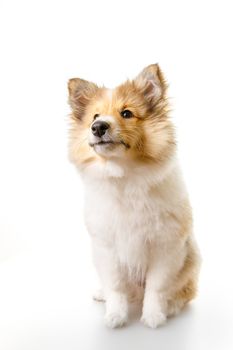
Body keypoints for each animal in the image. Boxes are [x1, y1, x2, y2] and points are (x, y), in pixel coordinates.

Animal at [67, 63, 200, 328]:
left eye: (127, 113)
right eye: (94, 117)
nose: (98, 127)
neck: (124, 176)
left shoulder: (165, 248)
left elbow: (157, 288)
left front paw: (153, 317)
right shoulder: (107, 248)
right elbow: (116, 287)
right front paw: (115, 316)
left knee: (183, 291)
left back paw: (171, 306)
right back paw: (102, 294)